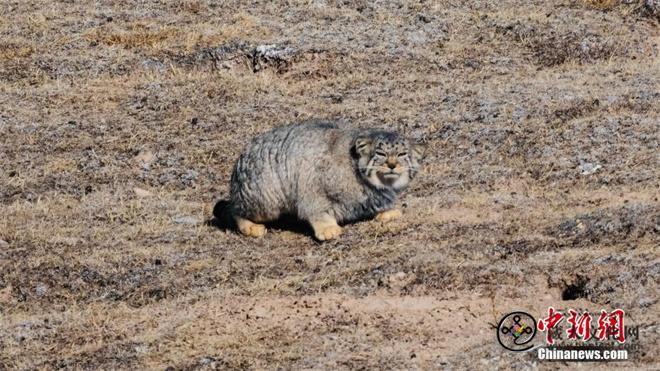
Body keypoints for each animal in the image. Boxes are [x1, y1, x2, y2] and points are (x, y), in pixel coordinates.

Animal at [214, 120, 426, 241]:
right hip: (265, 199)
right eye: (381, 153)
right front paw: (327, 228)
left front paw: (388, 212)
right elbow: (315, 208)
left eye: (402, 154)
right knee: (231, 209)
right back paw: (250, 226)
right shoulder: (313, 185)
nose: (392, 165)